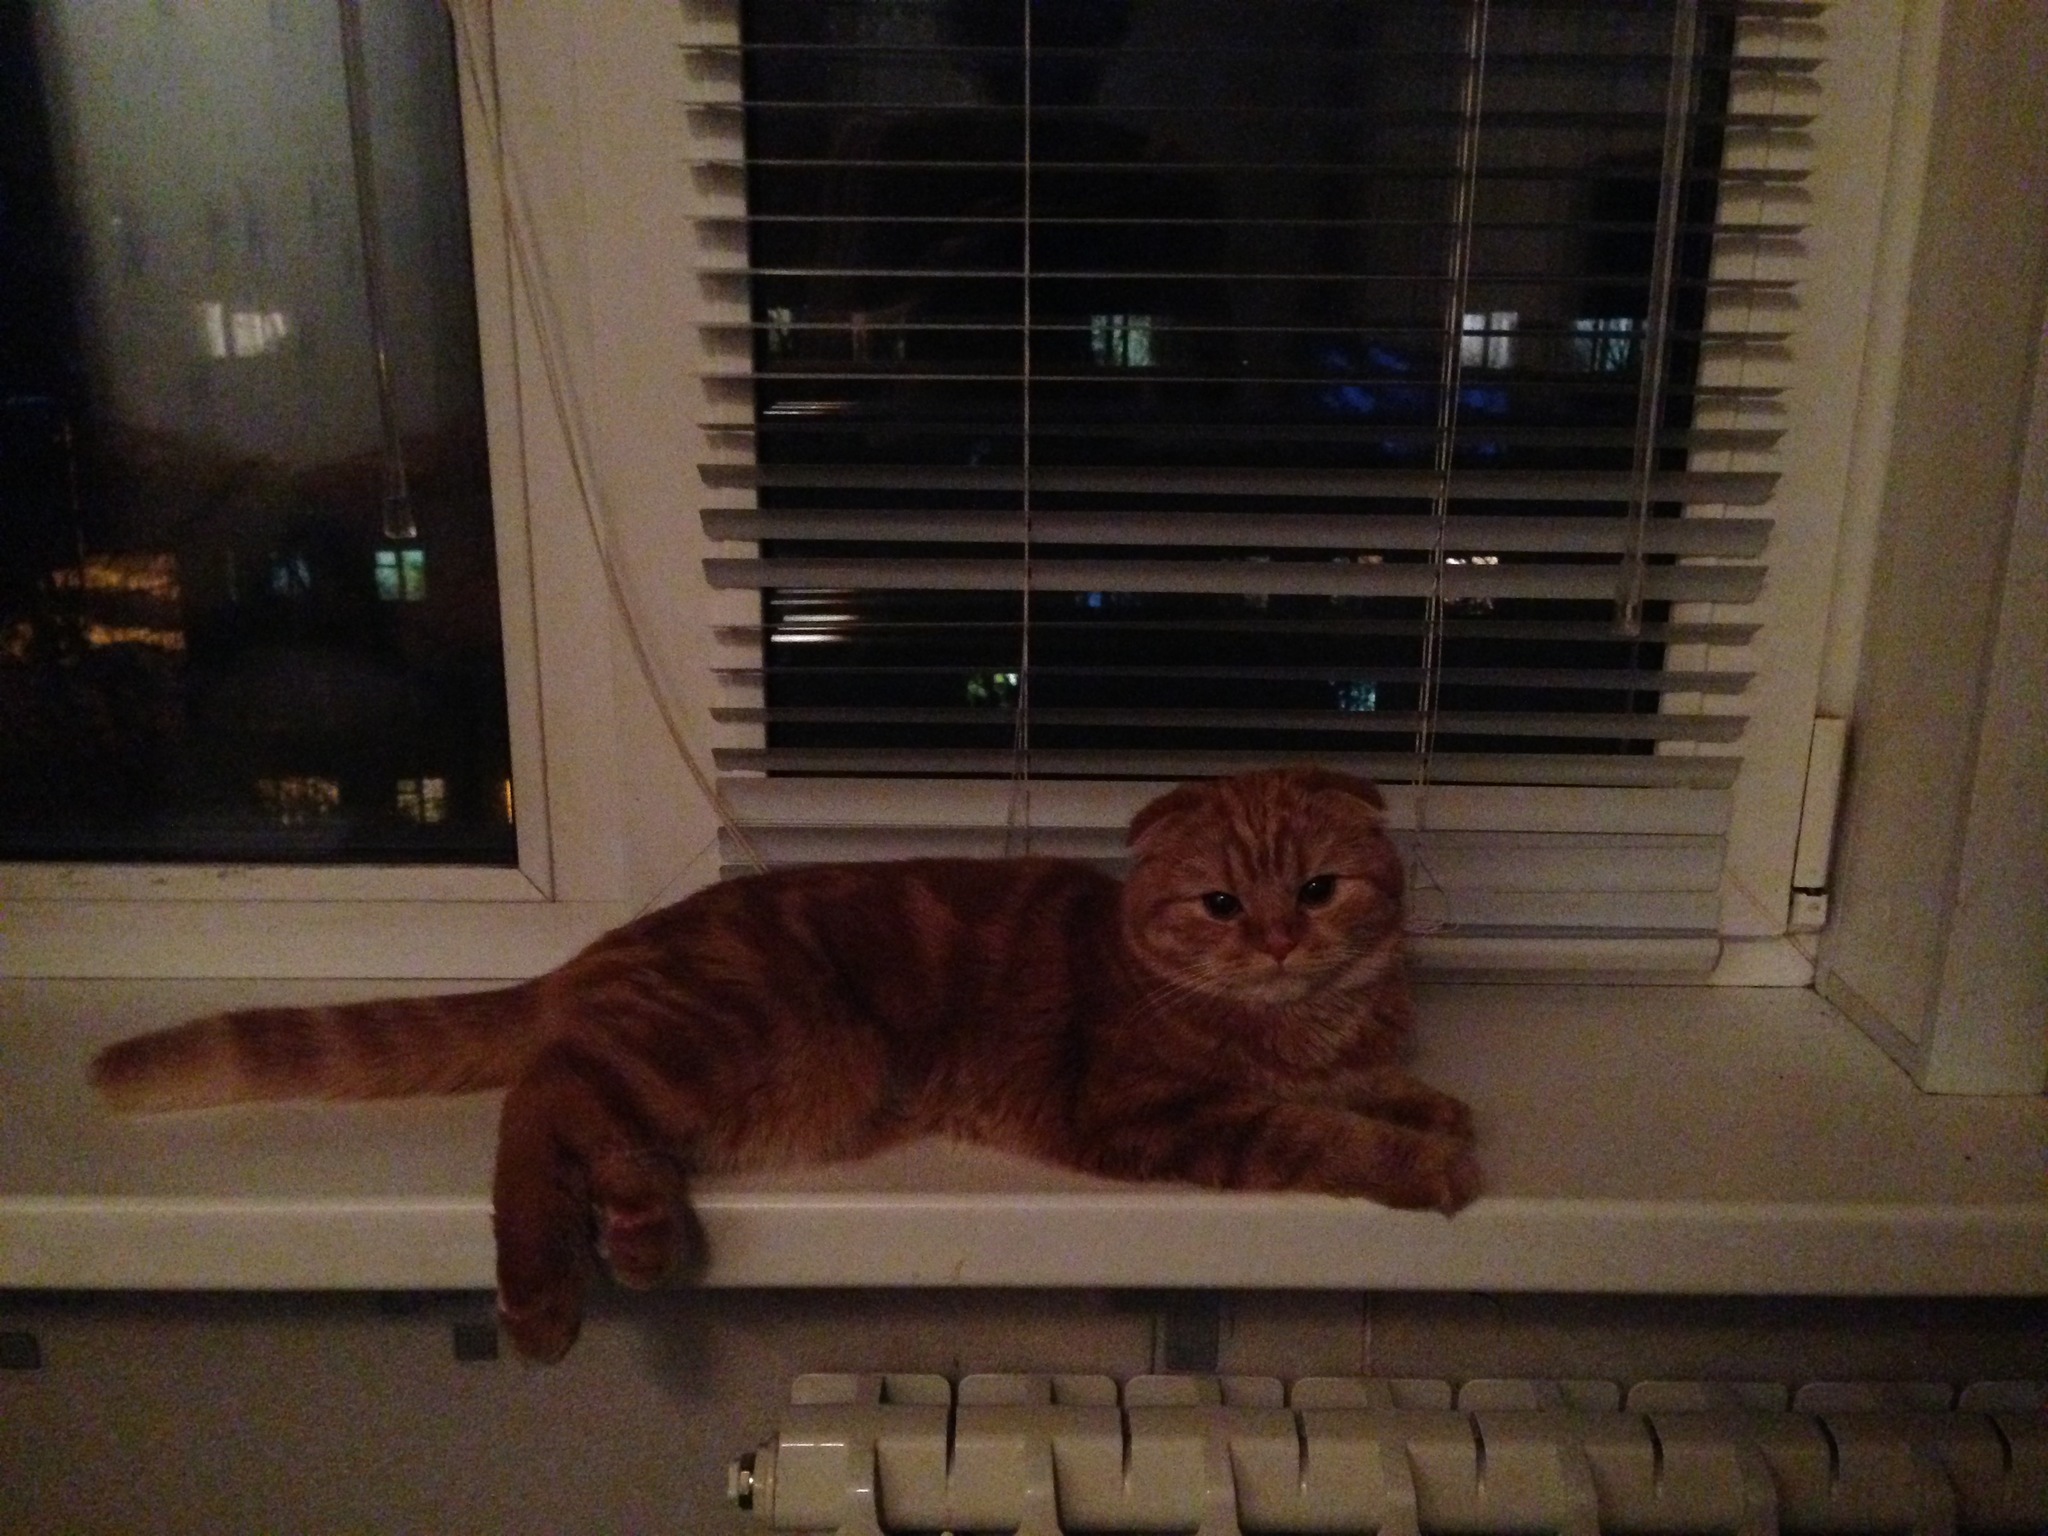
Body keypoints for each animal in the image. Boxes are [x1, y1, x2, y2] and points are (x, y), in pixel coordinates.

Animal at [92, 770, 1474, 1359]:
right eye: (1221, 905)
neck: (1295, 1022)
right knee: (539, 1098)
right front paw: (1422, 1161)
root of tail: (608, 944)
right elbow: (1305, 1127)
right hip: (747, 1047)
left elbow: (1368, 1087)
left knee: (588, 1110)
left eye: (1316, 889)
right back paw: (541, 1297)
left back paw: (640, 1228)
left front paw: (1433, 1105)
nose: (1282, 940)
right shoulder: (1151, 1108)